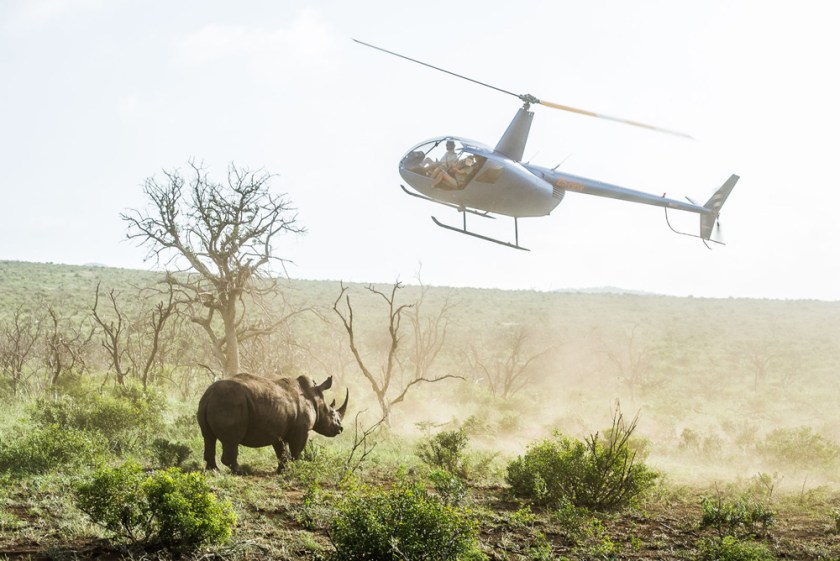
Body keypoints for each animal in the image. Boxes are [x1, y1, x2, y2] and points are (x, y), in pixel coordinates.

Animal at [197, 373, 348, 473]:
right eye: (332, 413)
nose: (340, 429)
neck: (315, 399)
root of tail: (209, 395)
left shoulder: (278, 428)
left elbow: (281, 451)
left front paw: (282, 470)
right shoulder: (302, 429)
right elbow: (296, 451)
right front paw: (296, 468)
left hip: (209, 402)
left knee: (208, 437)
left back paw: (213, 470)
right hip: (230, 403)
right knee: (232, 441)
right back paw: (240, 471)